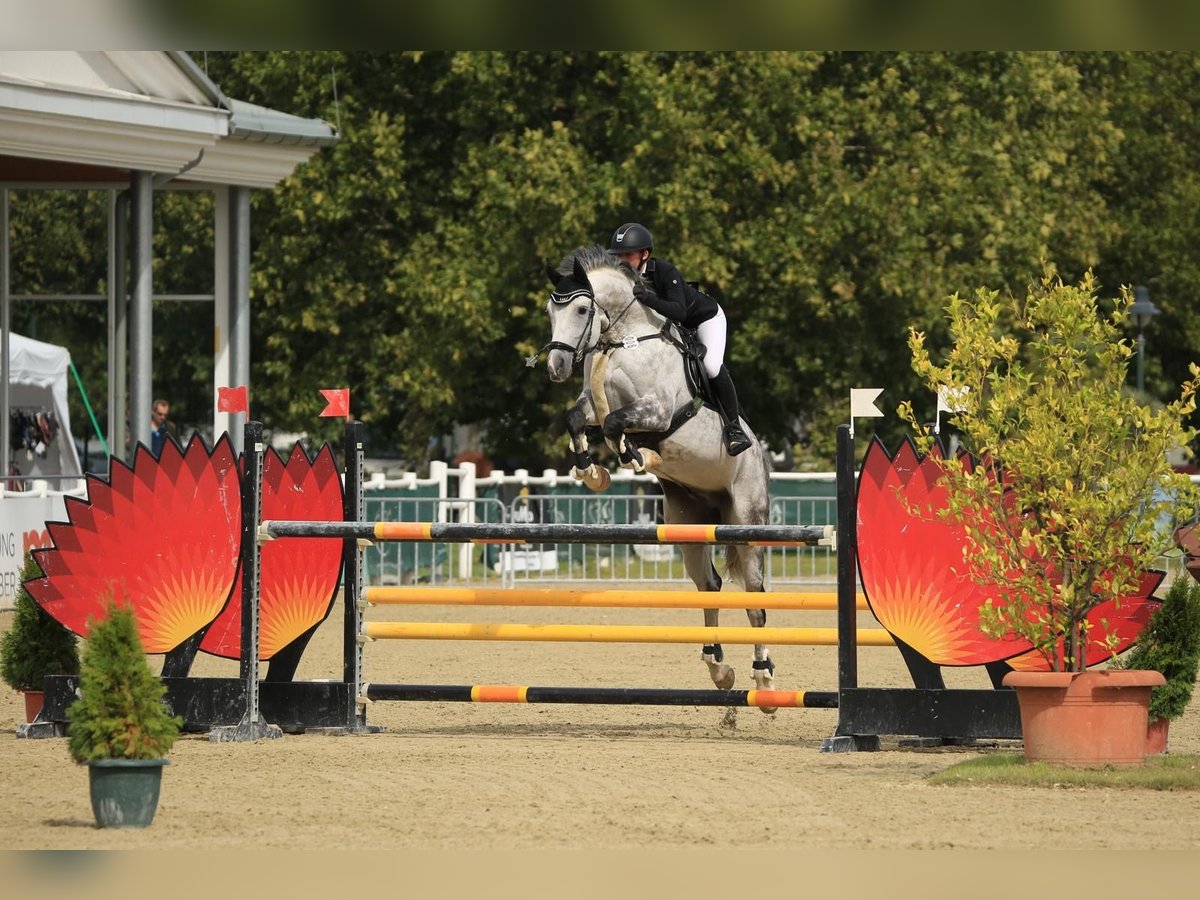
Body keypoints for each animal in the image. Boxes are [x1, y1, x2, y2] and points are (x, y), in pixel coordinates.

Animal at [540, 244, 772, 705]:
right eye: (550, 310)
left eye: (581, 308)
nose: (556, 366)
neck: (624, 337)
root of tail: (761, 458)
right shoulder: (594, 405)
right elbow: (578, 418)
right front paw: (592, 471)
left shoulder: (659, 410)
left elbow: (617, 426)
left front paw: (635, 456)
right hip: (688, 523)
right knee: (709, 584)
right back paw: (719, 667)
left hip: (746, 520)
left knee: (755, 598)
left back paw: (763, 678)